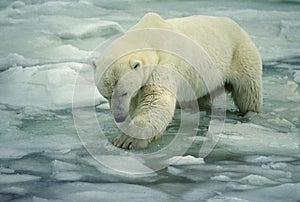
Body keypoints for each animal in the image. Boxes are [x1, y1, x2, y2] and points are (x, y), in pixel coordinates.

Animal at [94, 11, 262, 149]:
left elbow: (155, 99)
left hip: (240, 54)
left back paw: (250, 113)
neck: (149, 34)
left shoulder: (165, 62)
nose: (119, 117)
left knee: (248, 91)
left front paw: (128, 139)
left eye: (124, 93)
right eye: (106, 95)